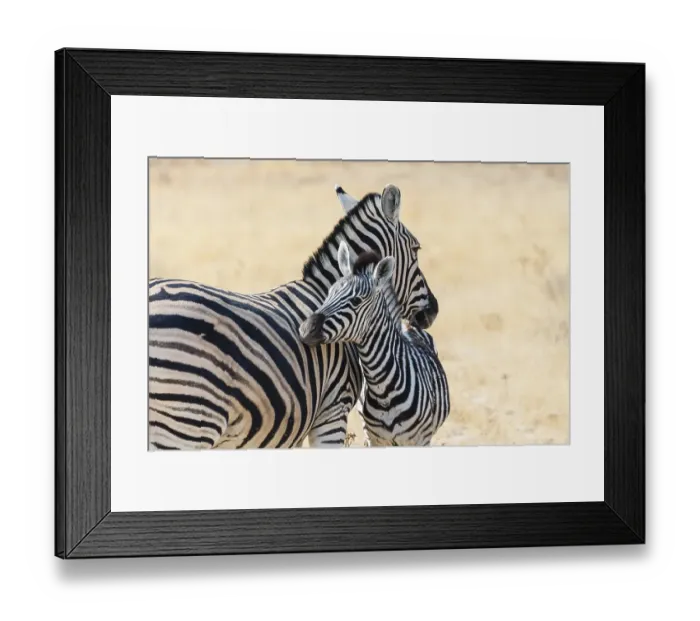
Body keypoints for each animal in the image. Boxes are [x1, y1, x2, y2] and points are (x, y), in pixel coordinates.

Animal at [298, 241, 450, 447]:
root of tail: (406, 326)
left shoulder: (419, 440)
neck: (383, 389)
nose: (306, 329)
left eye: (356, 301)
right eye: (329, 293)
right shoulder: (373, 439)